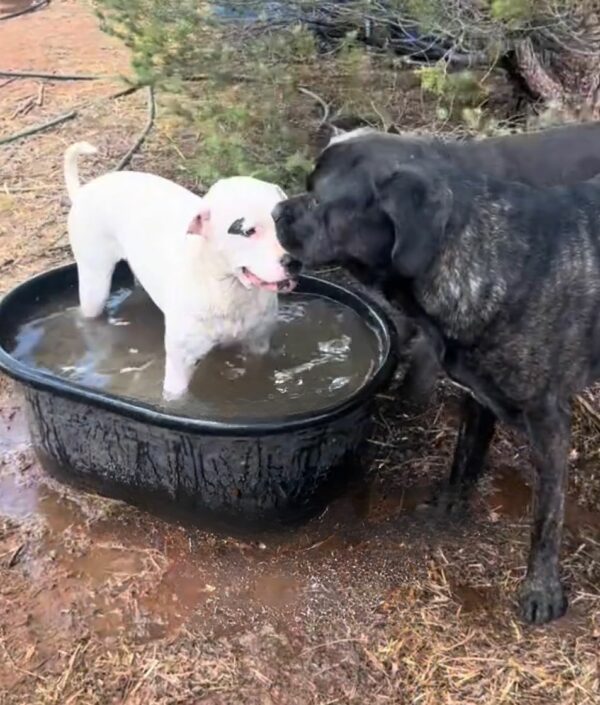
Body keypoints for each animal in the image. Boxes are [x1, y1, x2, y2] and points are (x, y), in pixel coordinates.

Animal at [64, 140, 296, 398]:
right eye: (248, 231)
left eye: (286, 221)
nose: (293, 261)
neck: (227, 290)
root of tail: (84, 191)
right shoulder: (179, 365)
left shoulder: (258, 346)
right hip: (94, 284)